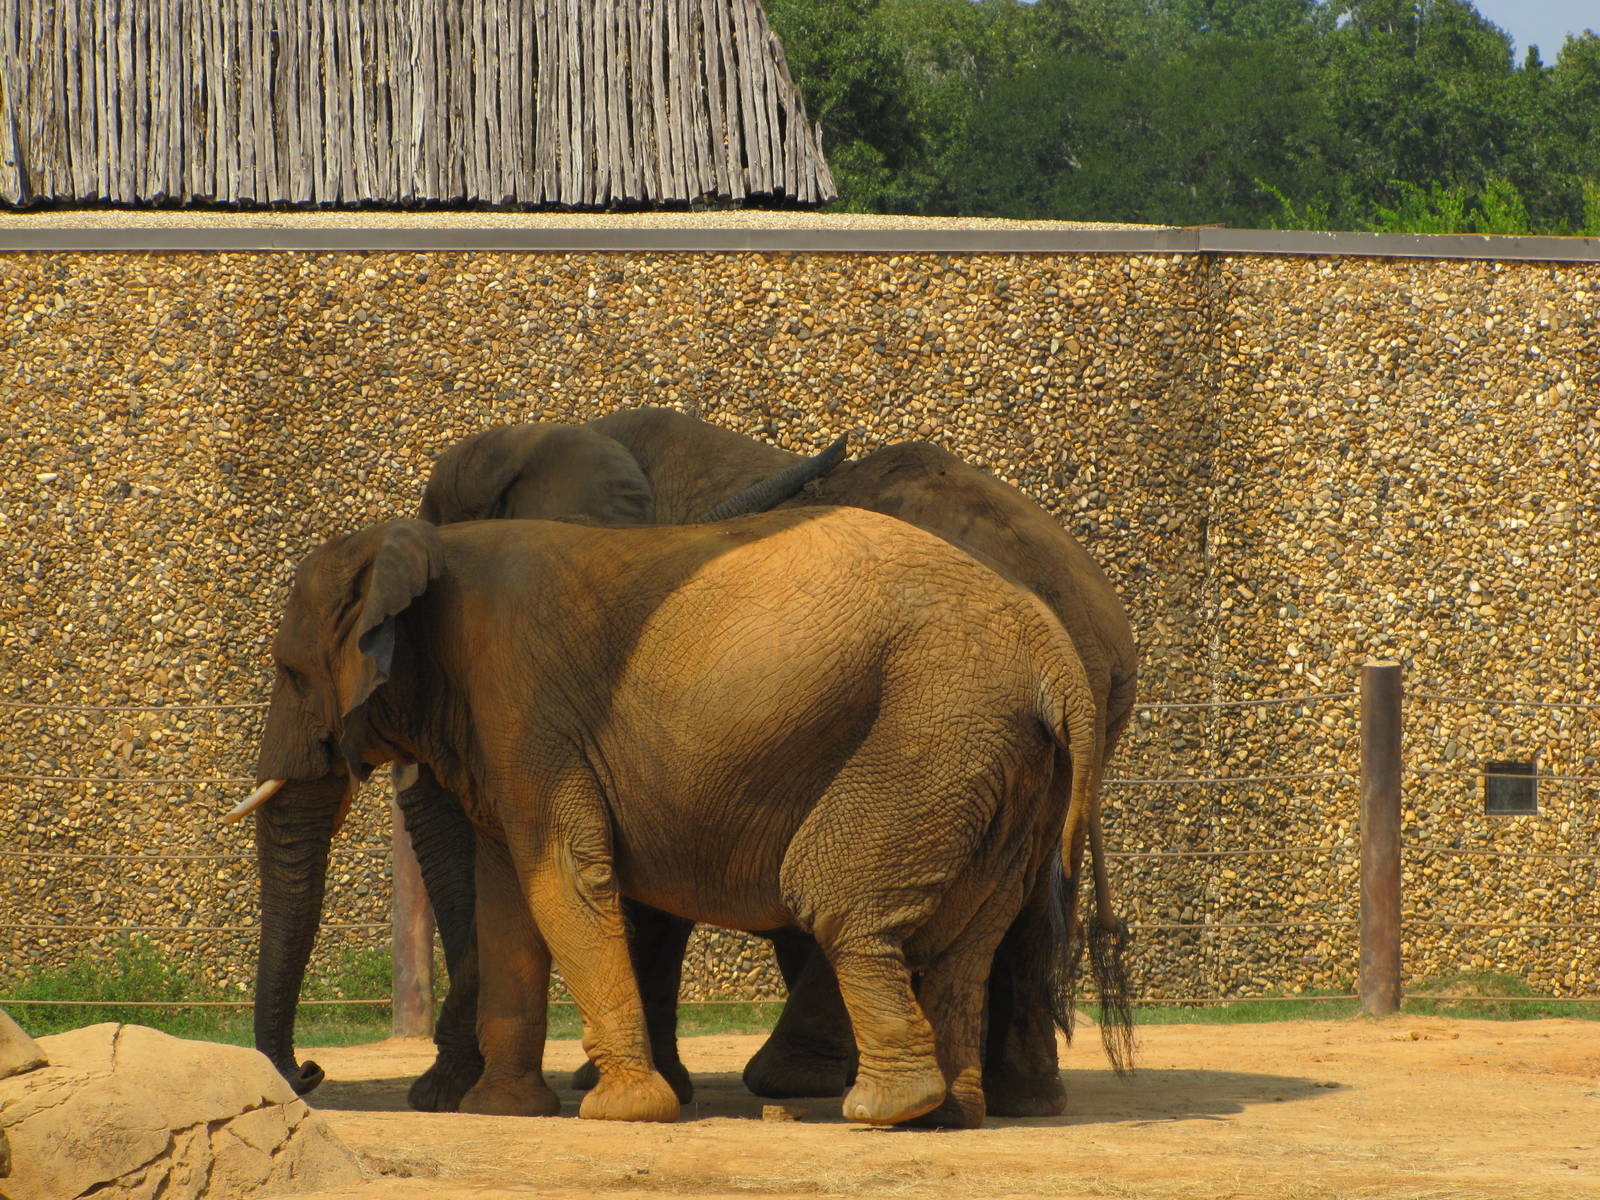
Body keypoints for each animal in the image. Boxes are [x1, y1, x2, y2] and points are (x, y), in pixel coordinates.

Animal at [246, 406, 1137, 1116]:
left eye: (291, 673)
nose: (307, 1072)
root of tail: (1067, 644)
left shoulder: (544, 702)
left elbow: (571, 872)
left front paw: (615, 1102)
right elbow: (517, 886)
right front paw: (504, 1109)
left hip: (932, 720)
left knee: (832, 890)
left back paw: (846, 1097)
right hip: (1011, 751)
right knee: (992, 912)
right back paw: (989, 1104)